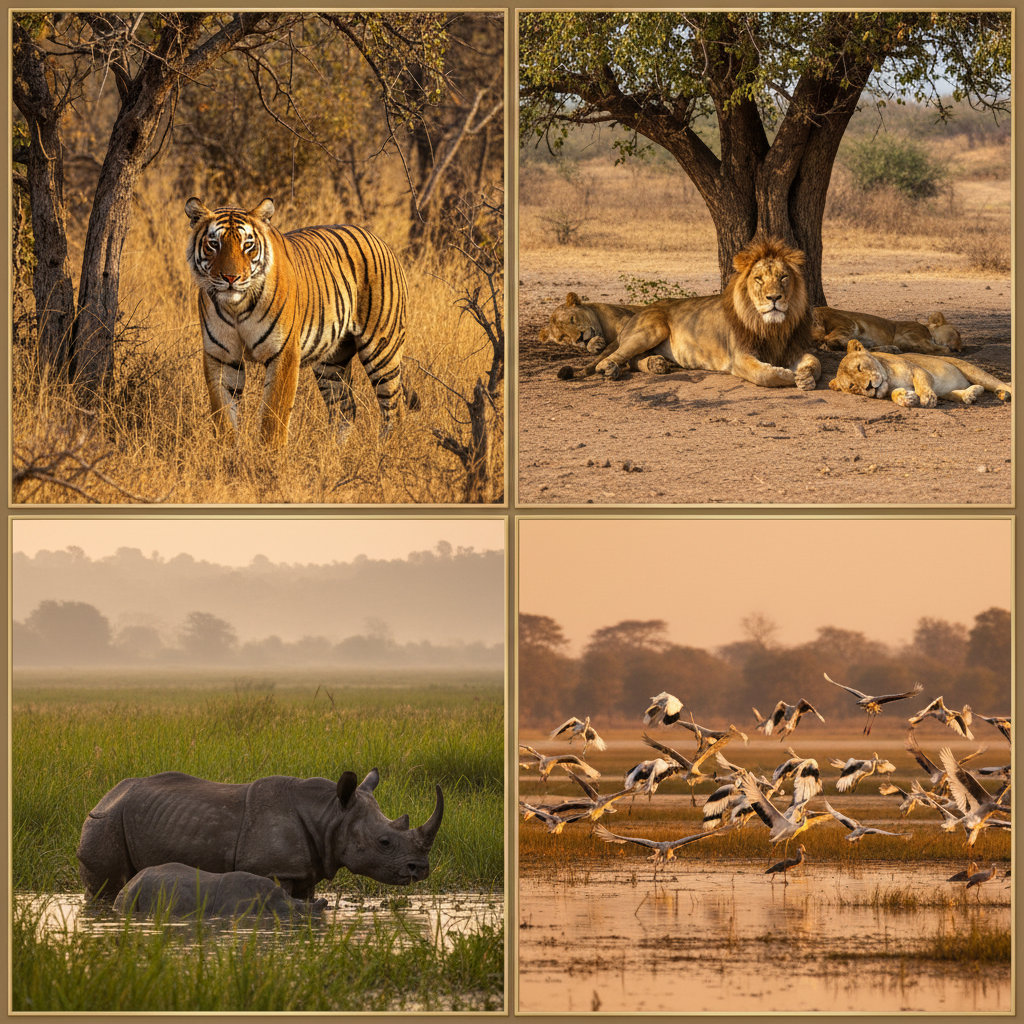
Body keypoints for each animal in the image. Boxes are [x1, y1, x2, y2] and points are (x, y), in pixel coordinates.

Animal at [78, 767, 443, 901]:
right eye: (384, 842)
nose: (421, 869)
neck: (329, 815)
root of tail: (105, 797)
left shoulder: (304, 870)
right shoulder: (274, 869)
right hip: (105, 822)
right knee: (106, 888)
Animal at [185, 197, 409, 448]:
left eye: (248, 245)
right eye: (213, 244)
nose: (231, 278)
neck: (236, 307)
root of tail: (379, 239)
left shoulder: (283, 352)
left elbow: (274, 414)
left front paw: (268, 456)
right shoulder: (221, 356)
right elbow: (223, 414)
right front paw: (226, 452)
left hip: (381, 350)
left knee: (394, 408)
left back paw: (388, 450)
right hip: (331, 362)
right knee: (345, 409)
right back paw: (332, 451)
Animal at [557, 235, 821, 391]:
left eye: (783, 277)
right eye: (759, 279)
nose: (774, 298)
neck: (770, 325)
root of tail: (637, 314)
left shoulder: (791, 348)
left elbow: (815, 363)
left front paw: (806, 375)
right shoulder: (740, 357)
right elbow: (765, 375)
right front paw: (791, 376)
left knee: (632, 360)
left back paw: (656, 364)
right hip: (653, 328)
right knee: (611, 359)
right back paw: (611, 369)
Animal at [812, 307, 961, 354]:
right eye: (957, 333)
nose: (960, 349)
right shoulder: (906, 336)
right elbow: (942, 348)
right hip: (849, 322)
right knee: (830, 339)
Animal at [828, 340, 1011, 408]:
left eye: (859, 367)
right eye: (853, 385)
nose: (868, 387)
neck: (889, 379)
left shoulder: (919, 370)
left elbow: (922, 384)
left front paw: (926, 398)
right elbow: (895, 395)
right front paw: (906, 398)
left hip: (969, 368)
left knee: (997, 383)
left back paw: (1004, 393)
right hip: (947, 392)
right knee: (966, 391)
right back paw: (971, 395)